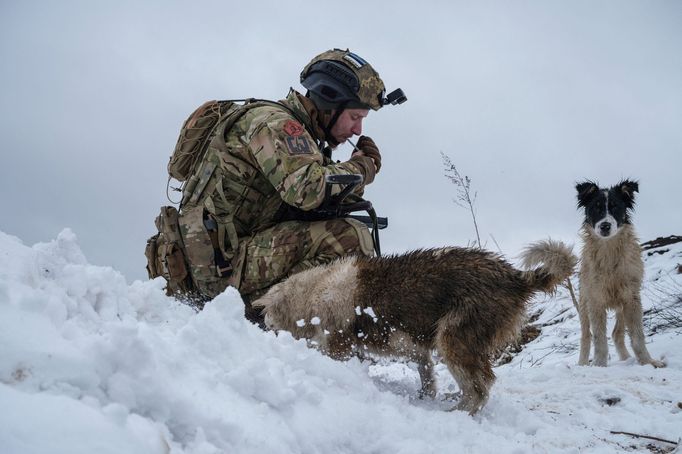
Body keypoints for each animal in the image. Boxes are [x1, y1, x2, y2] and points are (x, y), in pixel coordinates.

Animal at [254, 239, 572, 414]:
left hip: (453, 339)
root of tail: (514, 277)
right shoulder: (406, 342)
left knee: (480, 388)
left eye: (268, 317)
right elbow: (425, 369)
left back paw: (458, 412)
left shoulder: (339, 344)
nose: (264, 326)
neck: (314, 293)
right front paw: (425, 394)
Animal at [572, 179, 664, 368]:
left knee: (616, 333)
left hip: (622, 305)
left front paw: (647, 362)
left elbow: (637, 335)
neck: (609, 252)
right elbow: (599, 338)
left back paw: (626, 359)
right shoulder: (595, 300)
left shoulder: (631, 297)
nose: (605, 226)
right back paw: (583, 363)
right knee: (586, 336)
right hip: (584, 303)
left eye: (616, 207)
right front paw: (599, 365)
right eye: (596, 207)